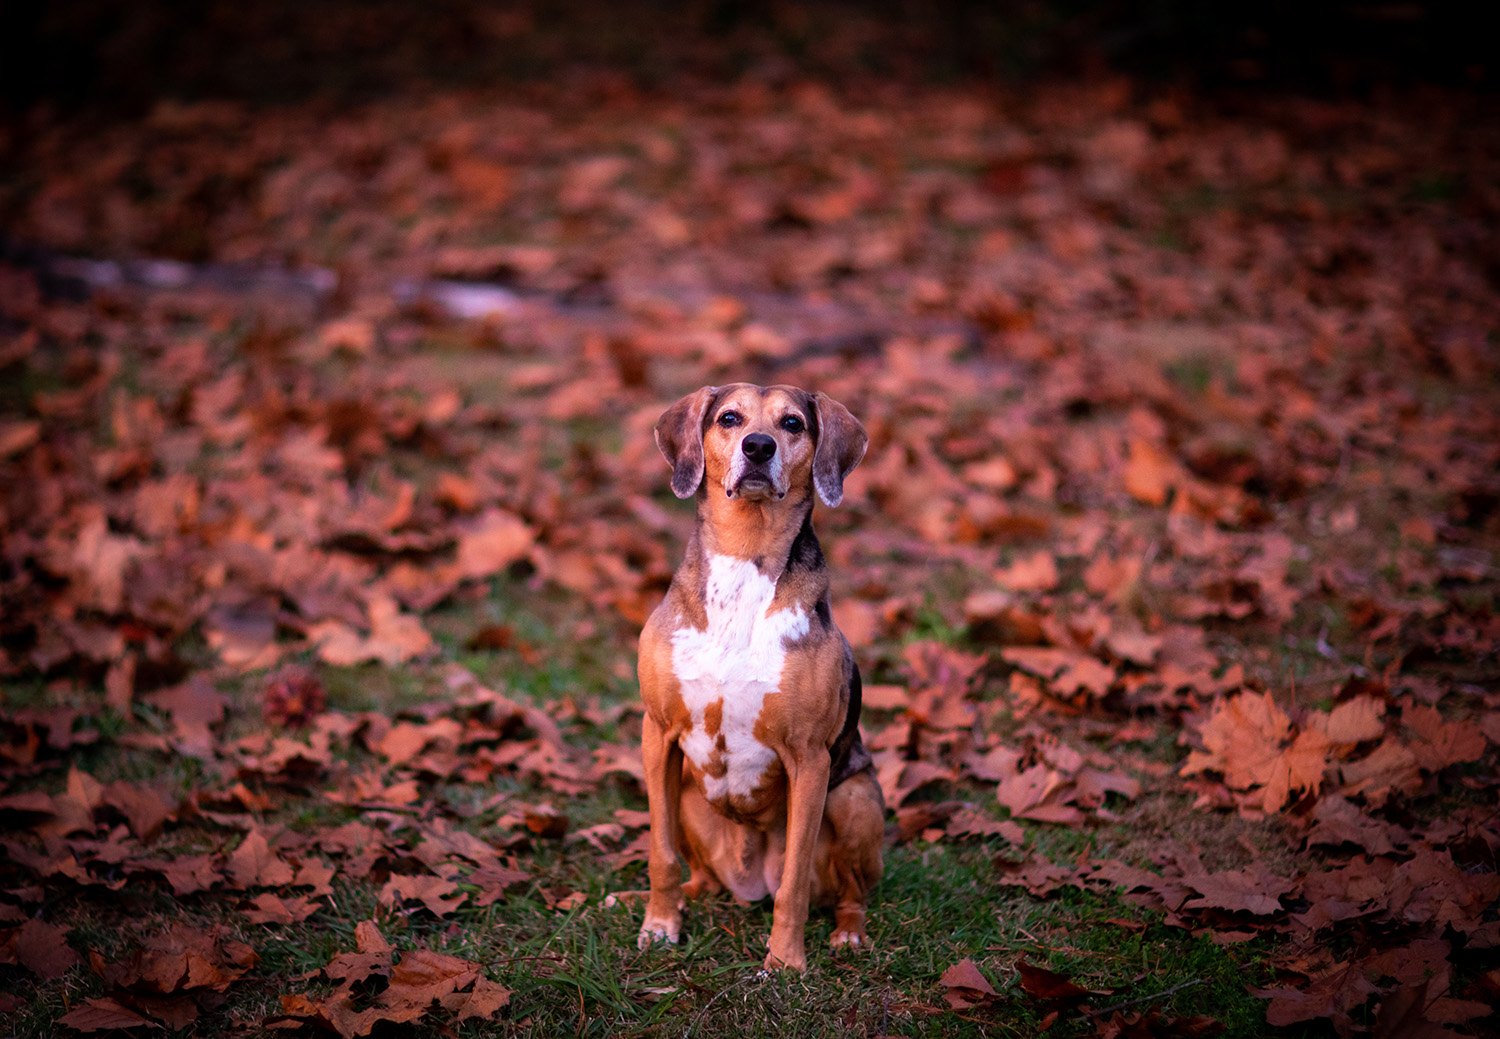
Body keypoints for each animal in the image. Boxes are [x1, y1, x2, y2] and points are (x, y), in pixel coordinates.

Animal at [636, 383, 888, 971]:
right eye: (730, 418)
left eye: (792, 423)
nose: (758, 446)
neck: (744, 556)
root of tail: (748, 882)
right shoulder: (657, 734)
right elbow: (661, 853)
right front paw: (659, 923)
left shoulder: (810, 760)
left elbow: (793, 886)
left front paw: (786, 961)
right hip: (686, 793)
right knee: (696, 872)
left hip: (855, 798)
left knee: (850, 894)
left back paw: (848, 934)